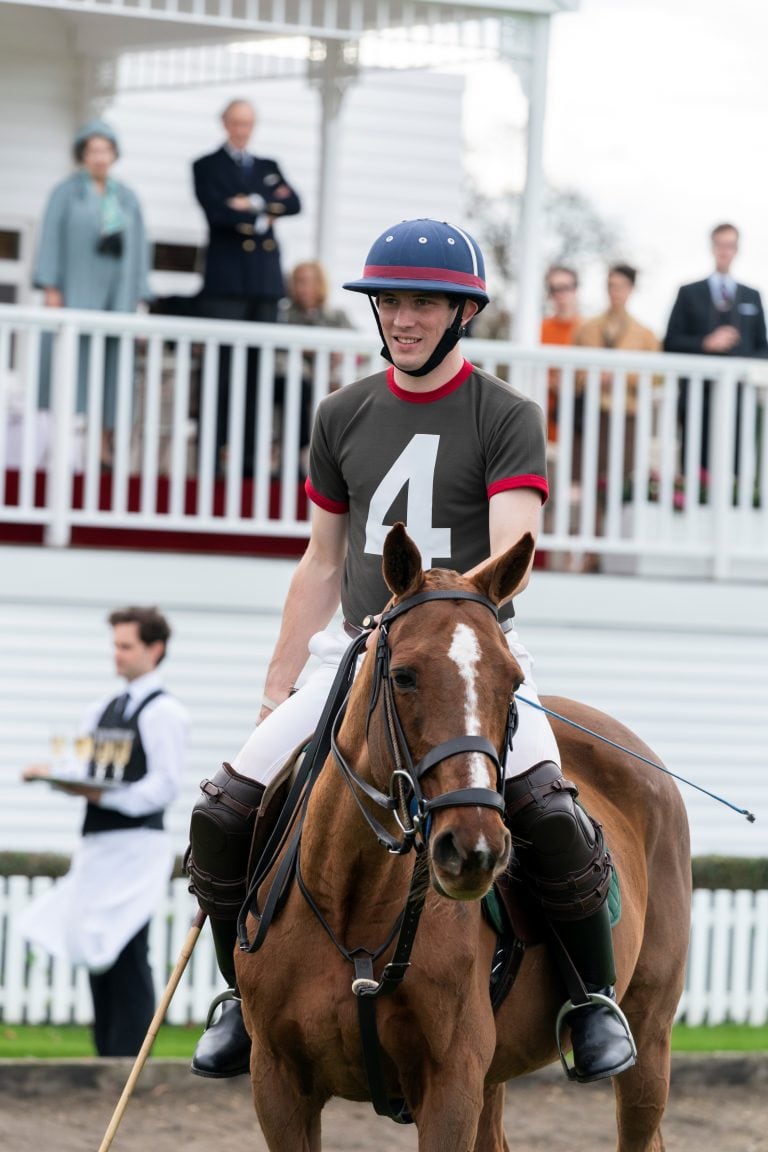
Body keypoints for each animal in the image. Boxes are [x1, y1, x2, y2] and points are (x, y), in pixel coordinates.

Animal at [237, 527, 695, 1147]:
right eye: (404, 676)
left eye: (514, 682)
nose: (473, 849)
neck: (350, 899)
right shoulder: (278, 1083)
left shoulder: (450, 1083)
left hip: (649, 1033)